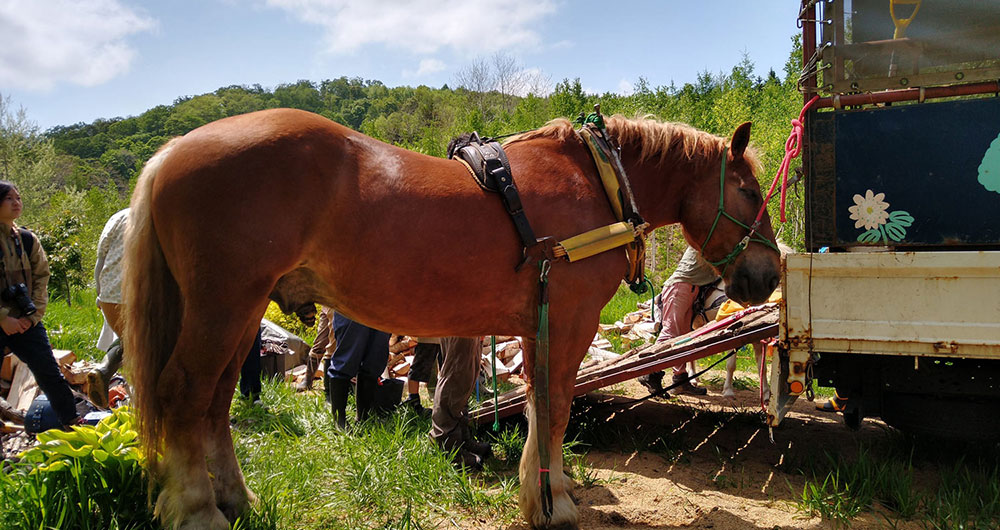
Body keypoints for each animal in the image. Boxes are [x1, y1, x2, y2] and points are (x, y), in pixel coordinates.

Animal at [123, 108, 780, 528]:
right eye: (750, 192)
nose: (769, 275)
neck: (598, 182)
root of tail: (170, 151)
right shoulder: (567, 320)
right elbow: (556, 407)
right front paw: (553, 503)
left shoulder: (537, 324)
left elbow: (539, 406)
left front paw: (544, 491)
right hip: (224, 304)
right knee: (185, 394)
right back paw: (199, 512)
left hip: (240, 312)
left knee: (215, 402)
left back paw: (237, 501)